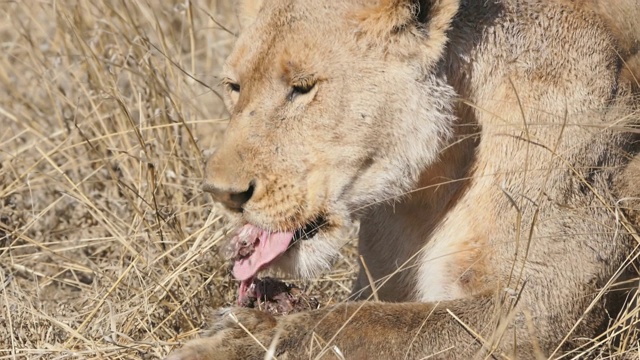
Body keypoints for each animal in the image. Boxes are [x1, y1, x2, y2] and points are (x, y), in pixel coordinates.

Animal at [166, 0, 640, 360]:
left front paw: (229, 342)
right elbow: (362, 315)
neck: (434, 181)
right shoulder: (378, 283)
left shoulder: (532, 312)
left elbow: (356, 325)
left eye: (302, 87)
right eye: (234, 86)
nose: (222, 194)